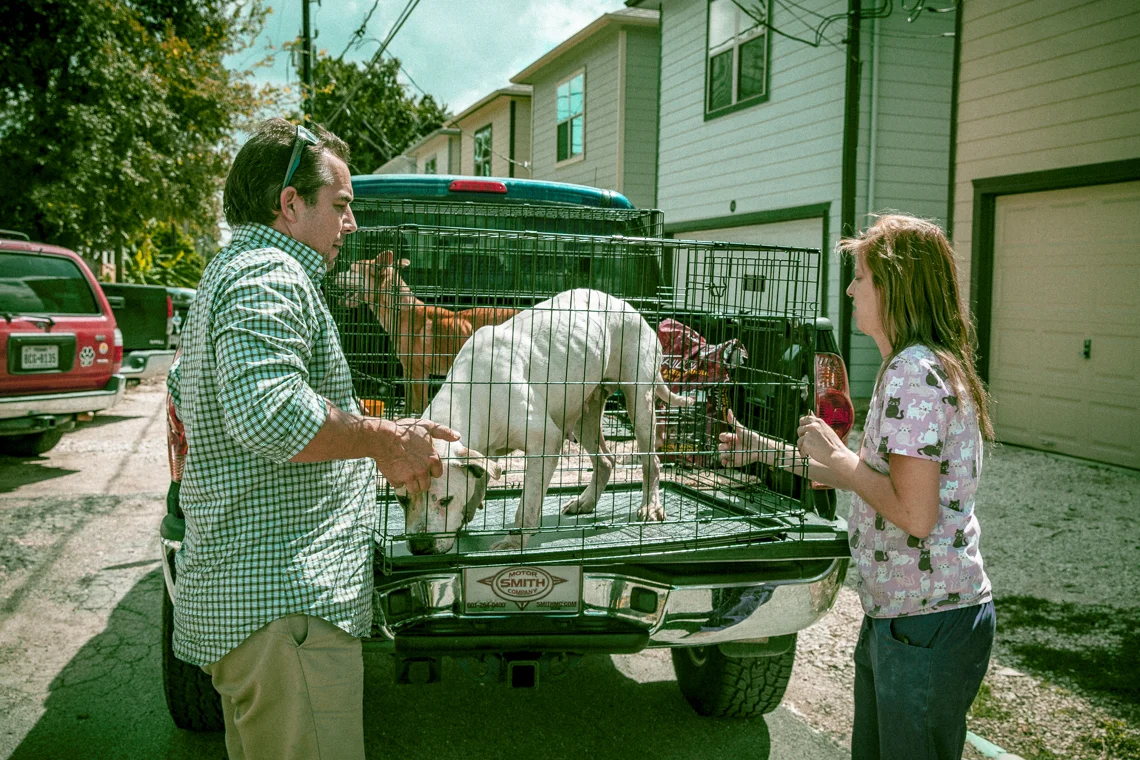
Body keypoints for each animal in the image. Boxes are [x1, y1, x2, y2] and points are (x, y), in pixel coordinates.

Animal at [336, 252, 518, 413]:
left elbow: (420, 405)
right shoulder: (408, 371)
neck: (400, 310)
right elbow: (408, 403)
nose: (334, 276)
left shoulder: (419, 373)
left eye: (352, 270)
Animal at [395, 289, 694, 555]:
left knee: (651, 461)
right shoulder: (486, 446)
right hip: (584, 412)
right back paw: (586, 501)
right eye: (401, 500)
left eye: (446, 500)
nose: (420, 547)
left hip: (639, 402)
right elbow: (481, 476)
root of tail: (628, 307)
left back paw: (650, 506)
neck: (470, 393)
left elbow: (527, 504)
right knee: (606, 460)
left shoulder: (545, 443)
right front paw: (470, 508)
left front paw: (514, 541)